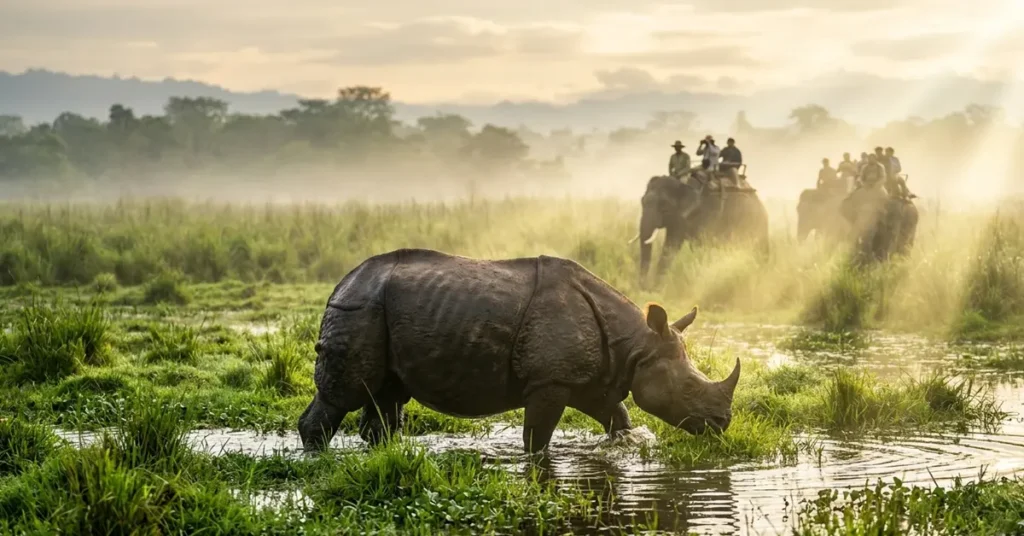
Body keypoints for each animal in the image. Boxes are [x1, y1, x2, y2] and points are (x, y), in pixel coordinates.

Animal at [298, 248, 741, 453]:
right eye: (688, 389)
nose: (722, 423)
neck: (636, 344)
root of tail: (342, 283)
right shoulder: (549, 380)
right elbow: (538, 437)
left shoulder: (595, 376)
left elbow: (618, 416)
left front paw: (625, 442)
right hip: (359, 309)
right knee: (344, 394)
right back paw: (319, 458)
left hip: (379, 309)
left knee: (387, 395)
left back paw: (384, 454)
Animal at [632, 175, 770, 287]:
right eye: (642, 202)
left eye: (664, 207)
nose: (643, 288)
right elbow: (670, 246)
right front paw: (656, 289)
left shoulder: (708, 213)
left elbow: (701, 245)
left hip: (755, 225)